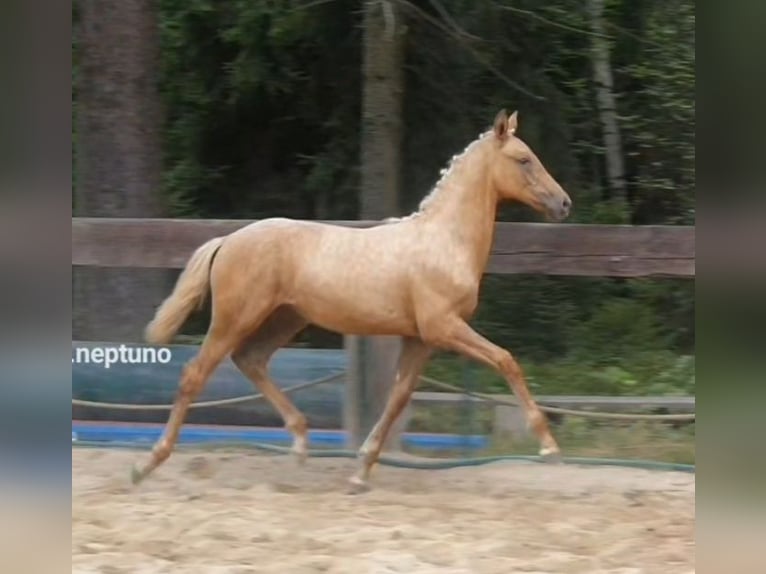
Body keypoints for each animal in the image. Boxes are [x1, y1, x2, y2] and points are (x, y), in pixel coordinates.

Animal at [132, 110, 572, 492]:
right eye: (524, 159)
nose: (564, 203)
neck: (444, 241)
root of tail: (227, 240)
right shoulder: (443, 328)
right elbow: (505, 360)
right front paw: (549, 447)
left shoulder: (420, 339)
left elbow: (398, 397)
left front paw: (360, 472)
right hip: (235, 319)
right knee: (195, 374)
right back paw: (146, 464)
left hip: (284, 319)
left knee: (251, 360)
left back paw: (300, 443)